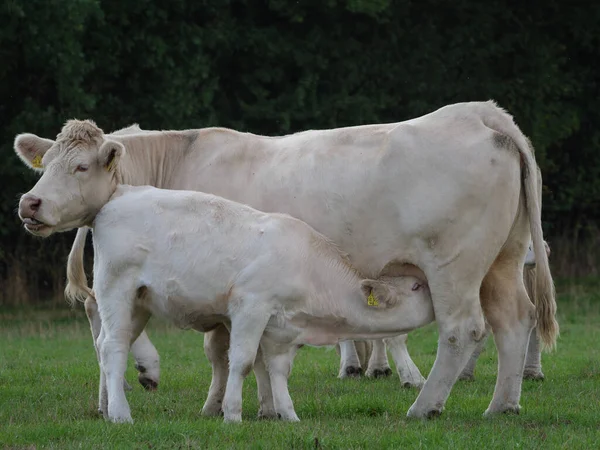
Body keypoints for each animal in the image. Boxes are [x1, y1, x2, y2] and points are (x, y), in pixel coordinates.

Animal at [17, 181, 432, 424]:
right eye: (416, 286)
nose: (440, 299)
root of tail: (122, 194)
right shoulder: (250, 307)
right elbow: (243, 361)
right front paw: (232, 413)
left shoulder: (281, 328)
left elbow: (277, 370)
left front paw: (288, 414)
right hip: (115, 289)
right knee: (113, 346)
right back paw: (120, 414)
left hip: (139, 303)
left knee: (106, 346)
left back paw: (107, 407)